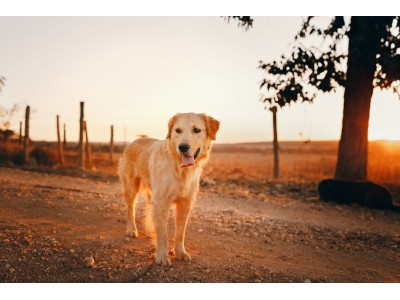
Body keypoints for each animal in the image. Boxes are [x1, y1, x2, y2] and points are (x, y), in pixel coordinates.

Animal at [117, 112, 220, 264]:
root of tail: (134, 141)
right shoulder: (161, 202)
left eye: (196, 130)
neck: (180, 170)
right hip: (131, 188)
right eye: (178, 130)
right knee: (131, 209)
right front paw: (162, 256)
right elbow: (163, 234)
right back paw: (132, 230)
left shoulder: (185, 204)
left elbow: (180, 233)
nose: (183, 147)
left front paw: (180, 252)